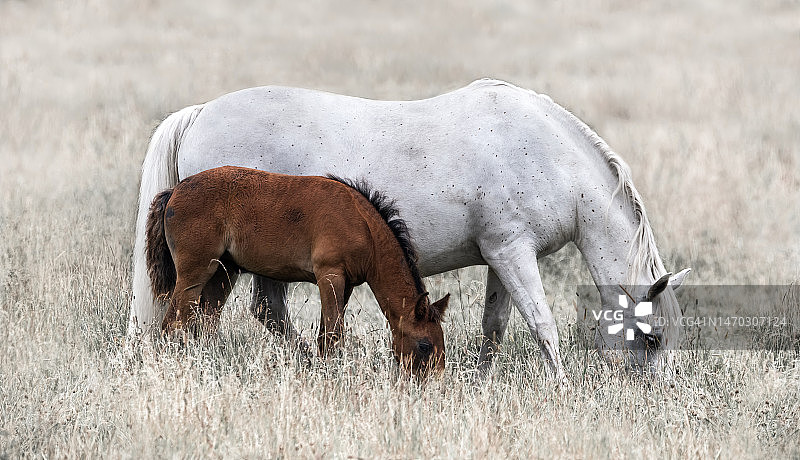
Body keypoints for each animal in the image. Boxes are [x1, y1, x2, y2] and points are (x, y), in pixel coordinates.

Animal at [145, 165, 450, 374]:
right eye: (424, 345)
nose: (431, 386)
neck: (362, 225)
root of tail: (175, 191)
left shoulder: (346, 285)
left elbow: (325, 336)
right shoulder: (330, 276)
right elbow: (334, 334)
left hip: (224, 273)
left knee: (205, 322)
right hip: (194, 273)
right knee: (172, 323)